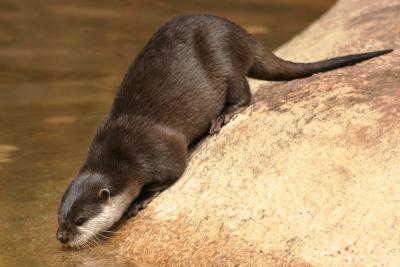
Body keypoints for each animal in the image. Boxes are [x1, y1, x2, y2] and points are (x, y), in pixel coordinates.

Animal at [54, 14, 392, 249]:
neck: (120, 154)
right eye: (60, 217)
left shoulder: (159, 152)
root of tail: (239, 34)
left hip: (224, 59)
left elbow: (172, 174)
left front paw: (139, 201)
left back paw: (225, 116)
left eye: (81, 220)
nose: (62, 237)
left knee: (243, 90)